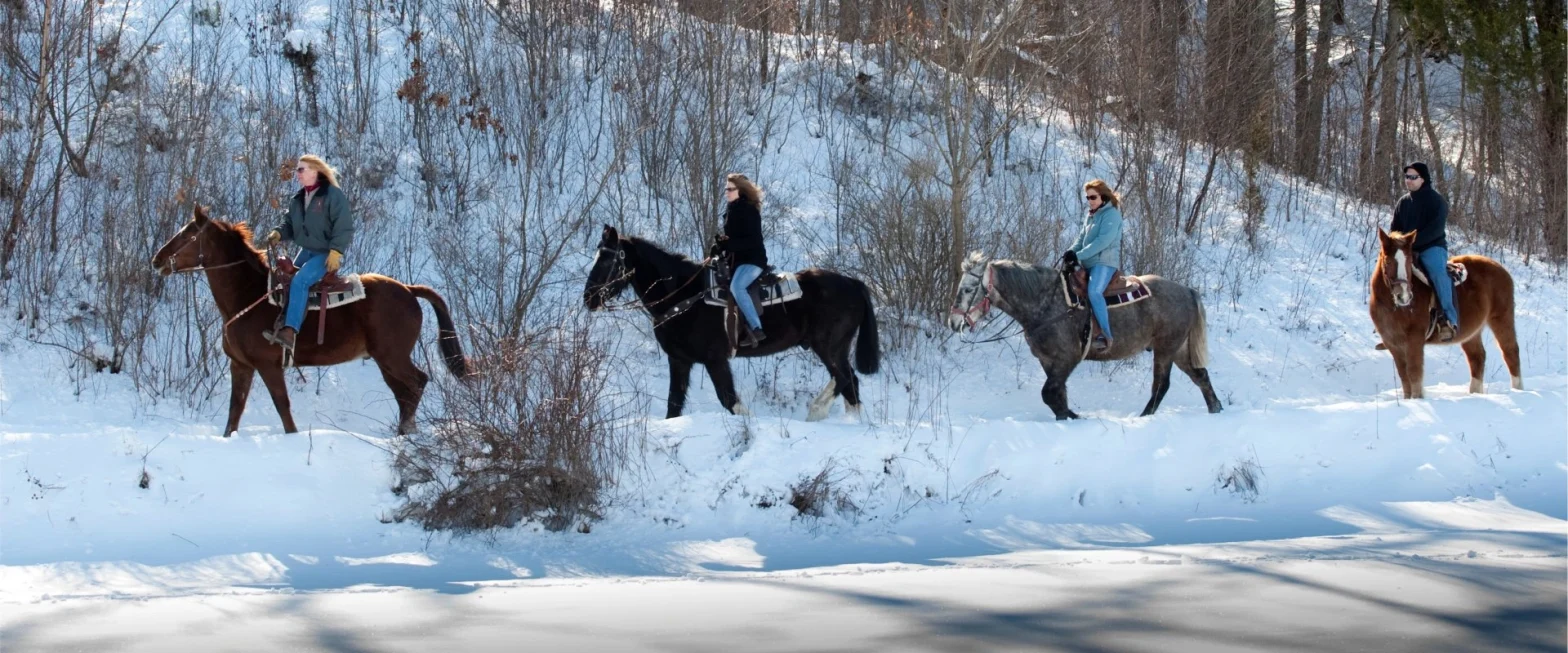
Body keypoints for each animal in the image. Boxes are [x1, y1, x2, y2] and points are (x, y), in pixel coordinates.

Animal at [151, 205, 473, 436]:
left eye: (188, 235)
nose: (157, 259)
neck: (248, 295)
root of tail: (407, 289)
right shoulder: (241, 366)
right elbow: (234, 412)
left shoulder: (268, 366)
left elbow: (282, 407)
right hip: (386, 360)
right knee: (404, 393)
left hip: (392, 357)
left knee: (417, 384)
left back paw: (405, 432)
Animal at [583, 225, 879, 421]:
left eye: (608, 260)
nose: (589, 298)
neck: (684, 296)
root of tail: (853, 283)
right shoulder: (679, 361)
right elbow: (673, 406)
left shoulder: (715, 360)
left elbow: (729, 400)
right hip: (834, 349)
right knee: (850, 385)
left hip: (829, 347)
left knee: (844, 379)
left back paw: (816, 411)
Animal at [947, 252, 1223, 419]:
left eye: (969, 289)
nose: (953, 322)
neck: (1046, 304)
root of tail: (1187, 291)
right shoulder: (1048, 361)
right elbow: (1057, 395)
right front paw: (1067, 417)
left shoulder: (1067, 358)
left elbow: (1049, 393)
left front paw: (1074, 416)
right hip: (1179, 349)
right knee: (1200, 377)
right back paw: (1216, 409)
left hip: (1165, 349)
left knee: (1161, 386)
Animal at [1370, 228, 1521, 399]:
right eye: (1388, 262)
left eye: (1408, 262)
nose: (1403, 296)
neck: (1392, 308)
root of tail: (1500, 269)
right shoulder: (1393, 344)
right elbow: (1404, 378)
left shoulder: (1414, 340)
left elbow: (1414, 374)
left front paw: (1417, 399)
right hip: (1471, 333)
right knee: (1477, 357)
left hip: (1501, 319)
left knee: (1510, 352)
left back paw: (1518, 390)